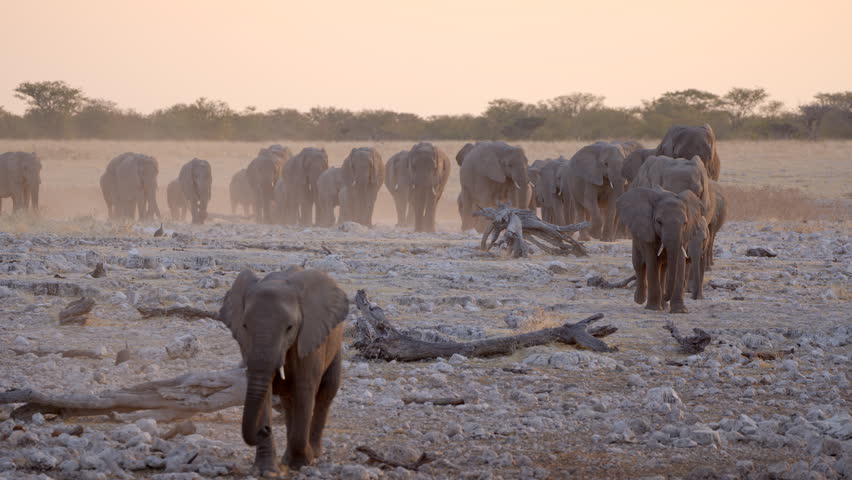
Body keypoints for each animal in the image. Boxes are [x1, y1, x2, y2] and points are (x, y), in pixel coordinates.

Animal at [219, 266, 348, 475]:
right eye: (245, 326)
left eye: (290, 327)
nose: (264, 429)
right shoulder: (246, 345)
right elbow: (265, 393)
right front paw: (266, 470)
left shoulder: (309, 338)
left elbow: (305, 390)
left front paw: (301, 463)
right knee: (289, 401)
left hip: (335, 342)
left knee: (326, 391)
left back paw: (314, 453)